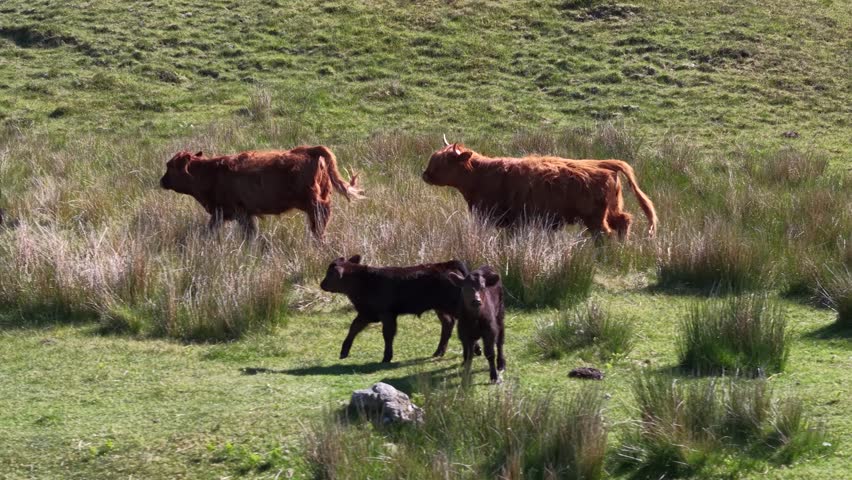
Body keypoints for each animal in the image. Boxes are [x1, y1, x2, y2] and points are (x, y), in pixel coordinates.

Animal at [159, 146, 364, 239]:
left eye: (170, 166)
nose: (162, 181)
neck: (210, 173)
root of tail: (310, 149)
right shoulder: (226, 213)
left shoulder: (237, 212)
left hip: (314, 203)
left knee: (319, 223)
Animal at [319, 255, 472, 363]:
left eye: (330, 273)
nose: (322, 284)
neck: (365, 281)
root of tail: (447, 264)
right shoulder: (367, 313)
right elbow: (354, 328)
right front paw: (343, 352)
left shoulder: (386, 314)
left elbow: (387, 334)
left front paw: (386, 357)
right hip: (440, 308)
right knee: (448, 323)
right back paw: (439, 352)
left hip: (453, 306)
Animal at [422, 138, 657, 239]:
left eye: (443, 162)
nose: (425, 174)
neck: (481, 175)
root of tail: (604, 165)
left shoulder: (499, 217)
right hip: (612, 210)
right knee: (624, 222)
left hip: (595, 217)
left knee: (604, 234)